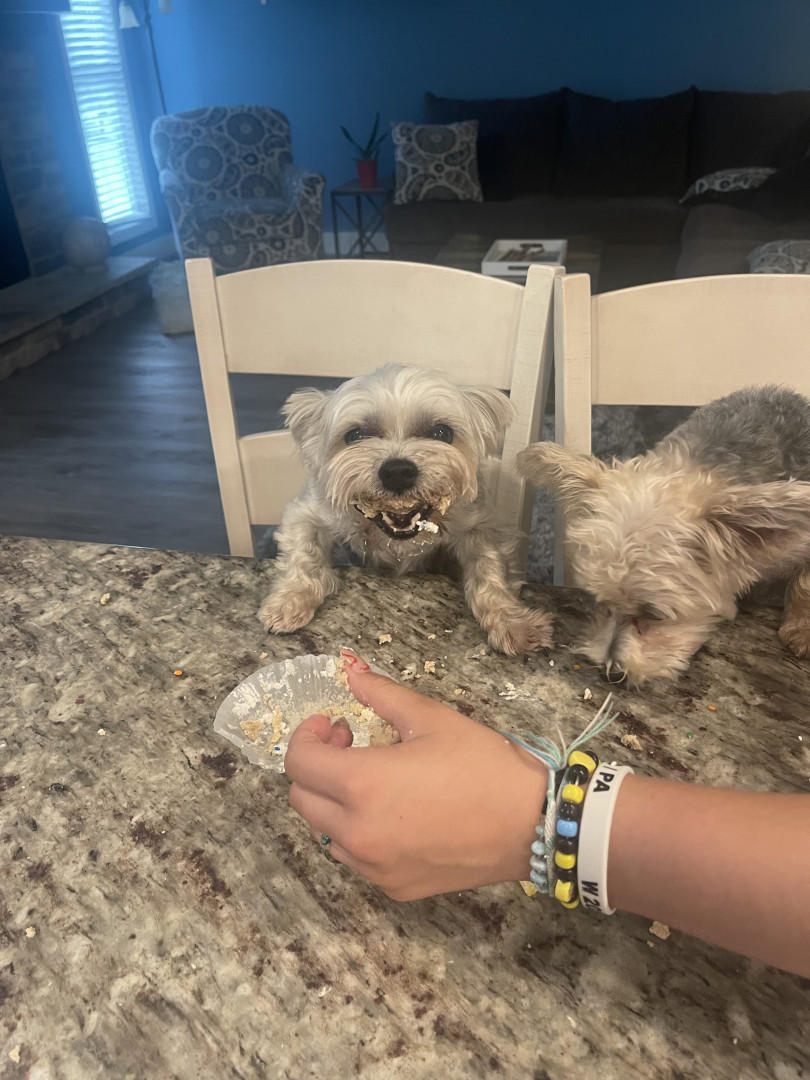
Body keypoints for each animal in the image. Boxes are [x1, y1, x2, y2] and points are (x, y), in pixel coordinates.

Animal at [258, 363, 553, 654]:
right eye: (355, 435)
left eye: (441, 432)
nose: (397, 471)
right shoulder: (308, 511)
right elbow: (303, 554)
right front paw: (288, 602)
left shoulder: (481, 523)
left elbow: (489, 568)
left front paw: (512, 621)